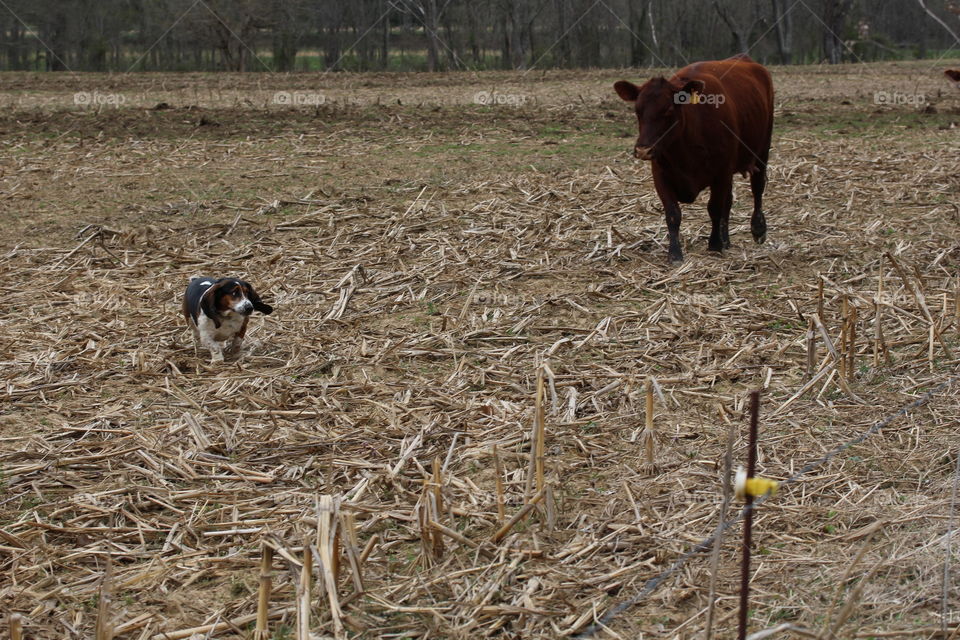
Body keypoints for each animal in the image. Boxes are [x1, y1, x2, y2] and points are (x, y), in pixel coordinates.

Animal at [616, 55, 772, 262]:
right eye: (637, 110)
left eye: (668, 110)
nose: (643, 150)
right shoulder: (660, 175)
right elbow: (673, 213)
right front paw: (675, 254)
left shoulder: (720, 173)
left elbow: (714, 208)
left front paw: (714, 245)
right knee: (729, 201)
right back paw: (726, 239)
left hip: (761, 151)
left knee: (757, 188)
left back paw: (758, 228)